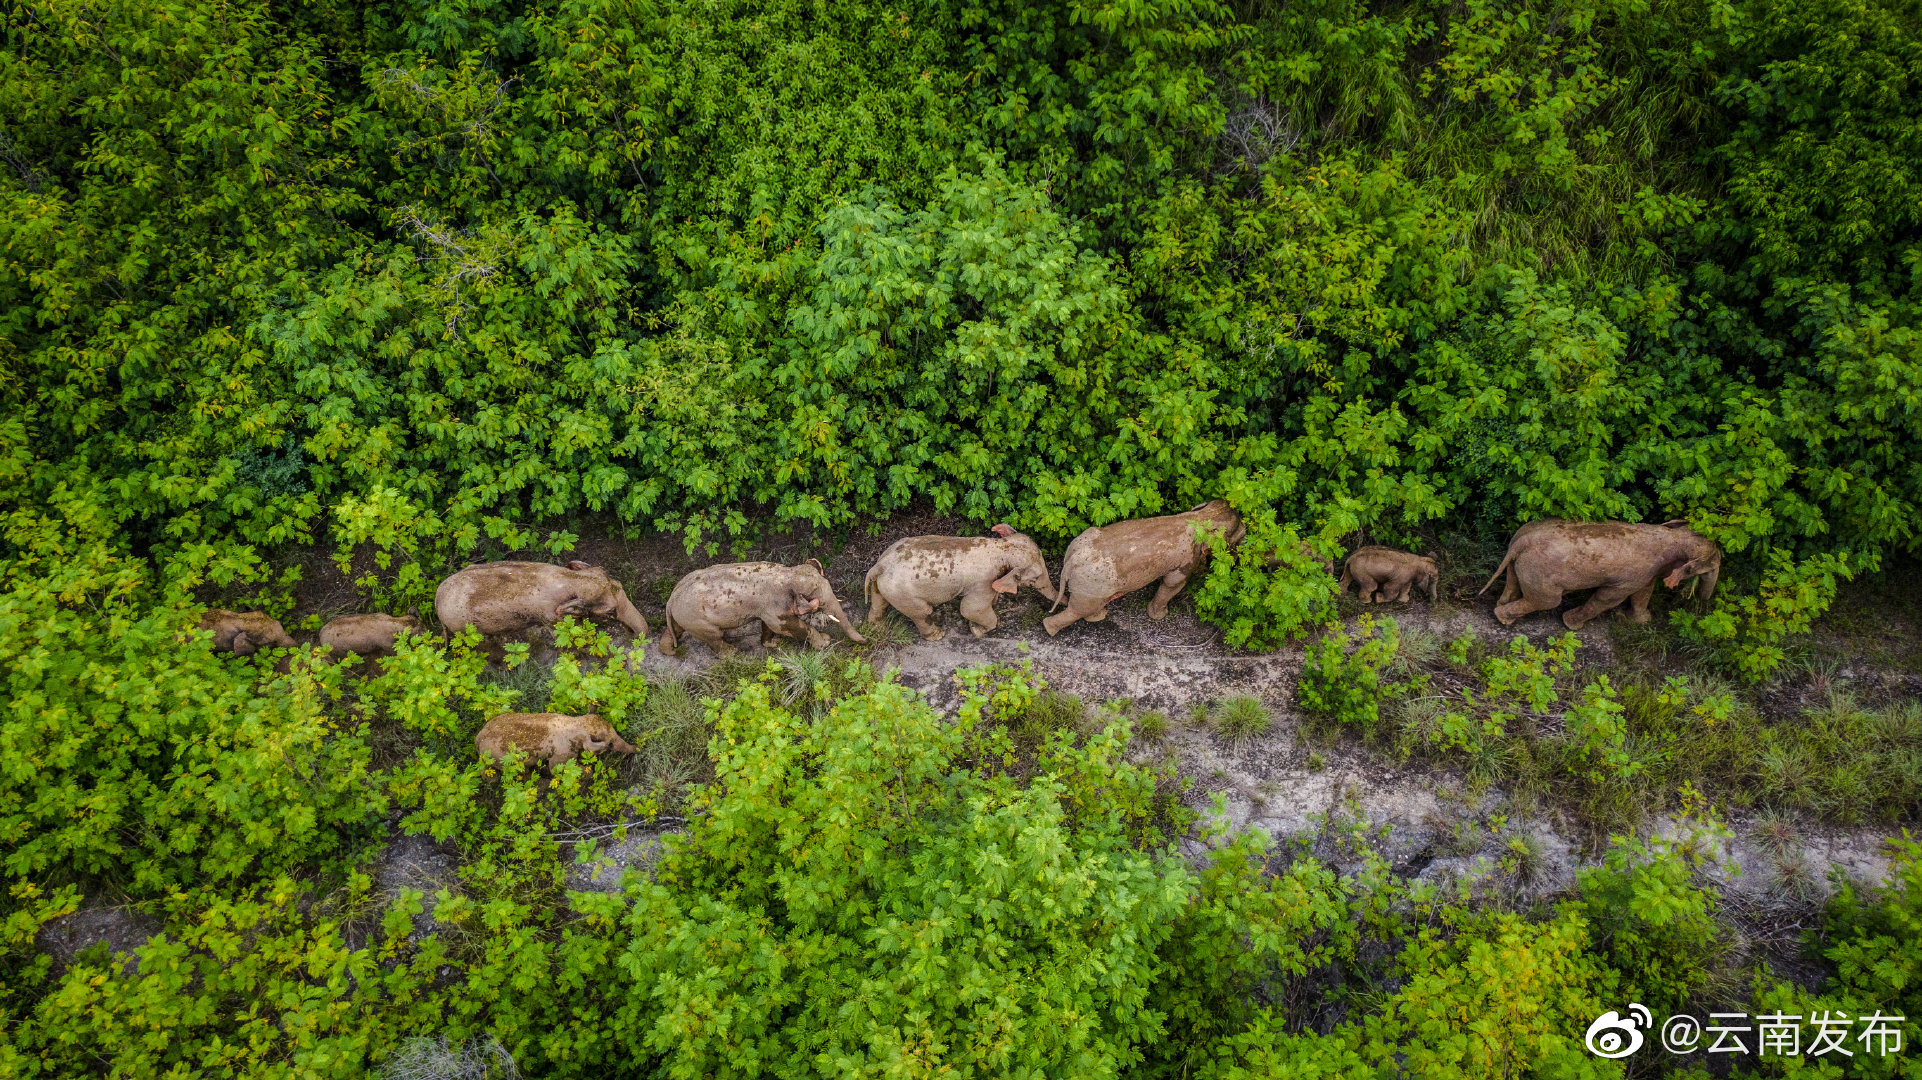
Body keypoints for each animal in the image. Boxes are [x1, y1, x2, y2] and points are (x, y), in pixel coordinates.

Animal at [435, 560, 647, 643]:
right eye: (610, 612)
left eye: (619, 584)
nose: (633, 634)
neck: (571, 579)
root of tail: (436, 600)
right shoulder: (549, 616)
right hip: (463, 627)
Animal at [659, 559, 866, 655]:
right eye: (815, 596)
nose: (865, 641)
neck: (787, 573)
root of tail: (671, 600)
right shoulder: (774, 607)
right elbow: (788, 626)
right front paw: (825, 643)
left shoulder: (767, 609)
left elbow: (768, 625)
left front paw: (772, 644)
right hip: (698, 621)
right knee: (715, 637)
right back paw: (732, 652)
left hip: (683, 618)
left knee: (675, 630)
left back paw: (669, 650)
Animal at [864, 524, 1057, 640]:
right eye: (1035, 579)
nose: (1049, 612)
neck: (1001, 547)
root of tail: (880, 565)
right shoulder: (983, 581)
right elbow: (969, 609)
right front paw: (977, 630)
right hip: (903, 594)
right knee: (922, 612)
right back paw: (938, 635)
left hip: (884, 586)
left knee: (879, 603)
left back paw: (876, 628)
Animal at [1043, 500, 1246, 636]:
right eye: (1238, 534)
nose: (1247, 531)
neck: (1198, 517)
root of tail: (1071, 561)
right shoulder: (1186, 558)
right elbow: (1173, 583)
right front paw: (1160, 616)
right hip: (1092, 586)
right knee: (1078, 610)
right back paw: (1051, 628)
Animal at [1478, 519, 1720, 629]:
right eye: (1710, 566)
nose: (1700, 601)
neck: (1670, 536)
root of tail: (1521, 542)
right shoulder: (1633, 575)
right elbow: (1609, 598)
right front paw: (1571, 625)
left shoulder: (1647, 573)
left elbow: (1643, 592)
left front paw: (1642, 621)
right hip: (1539, 574)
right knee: (1548, 601)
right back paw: (1503, 620)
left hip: (1521, 565)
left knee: (1513, 582)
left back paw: (1502, 610)